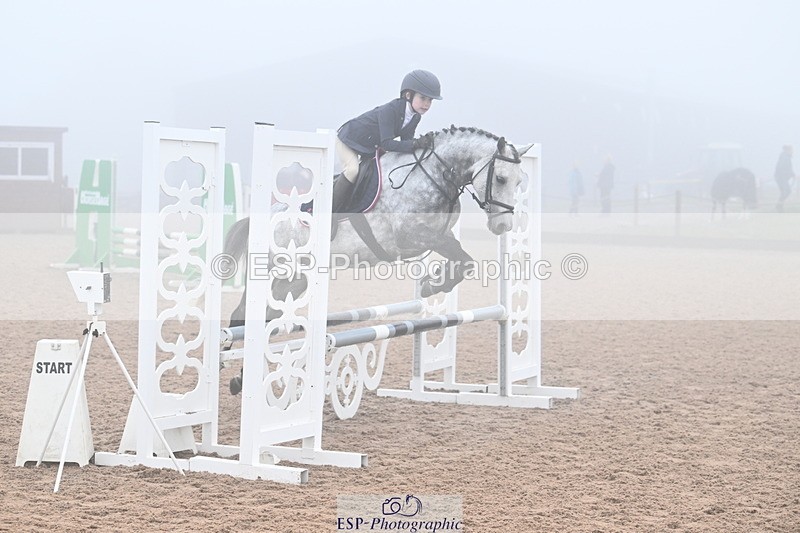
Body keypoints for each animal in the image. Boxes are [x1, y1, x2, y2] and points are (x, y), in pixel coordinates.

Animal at [223, 125, 533, 331]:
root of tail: (261, 218)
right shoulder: (411, 236)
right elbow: (460, 256)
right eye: (502, 179)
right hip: (274, 272)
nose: (503, 225)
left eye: (520, 182)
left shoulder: (436, 235)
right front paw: (433, 284)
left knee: (266, 315)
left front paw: (434, 281)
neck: (433, 174)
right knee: (242, 314)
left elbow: (462, 259)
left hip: (294, 280)